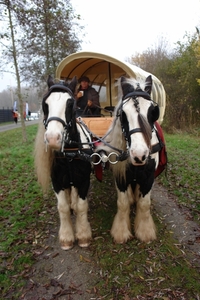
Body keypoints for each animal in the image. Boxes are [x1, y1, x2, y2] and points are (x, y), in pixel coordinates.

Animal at [34, 76, 93, 250]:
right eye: (45, 104)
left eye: (70, 104)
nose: (53, 139)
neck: (70, 152)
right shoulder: (57, 181)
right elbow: (63, 208)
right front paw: (67, 237)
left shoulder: (84, 180)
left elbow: (82, 206)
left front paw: (83, 235)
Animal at [97, 75, 161, 244]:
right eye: (123, 114)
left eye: (152, 112)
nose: (139, 155)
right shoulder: (120, 176)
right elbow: (123, 203)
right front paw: (121, 231)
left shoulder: (149, 176)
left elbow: (144, 204)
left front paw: (145, 231)